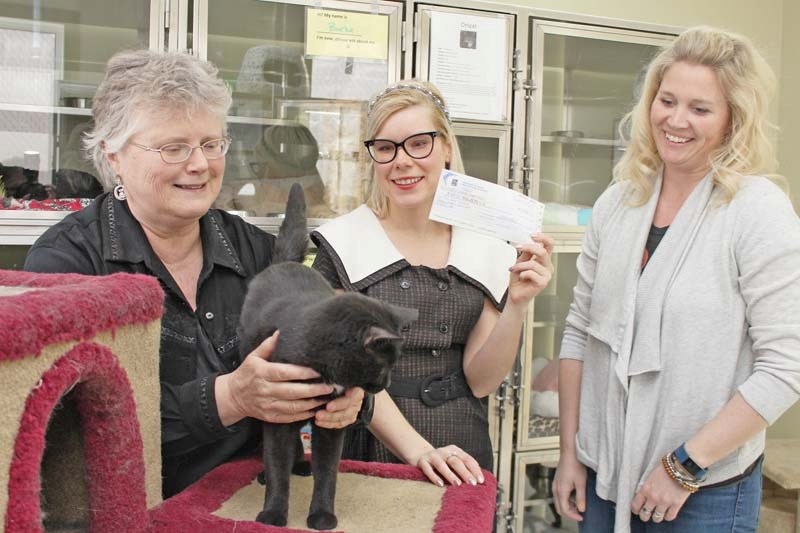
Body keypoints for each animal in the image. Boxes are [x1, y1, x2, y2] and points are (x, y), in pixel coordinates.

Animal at [239, 183, 418, 528]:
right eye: (384, 365)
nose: (386, 384)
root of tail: (284, 263)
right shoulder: (278, 405)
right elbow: (277, 461)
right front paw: (273, 513)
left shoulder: (332, 422)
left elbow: (327, 471)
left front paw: (322, 515)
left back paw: (301, 465)